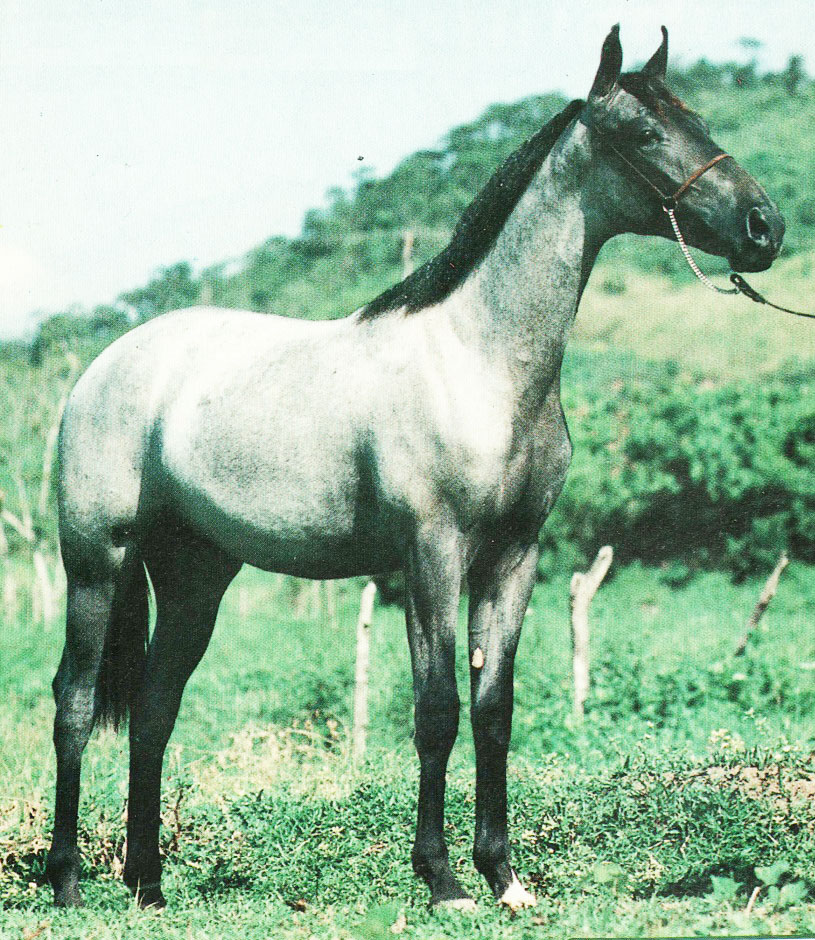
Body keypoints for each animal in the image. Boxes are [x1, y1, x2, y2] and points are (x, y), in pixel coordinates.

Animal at [46, 25, 784, 916]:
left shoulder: (512, 558)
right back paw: (66, 880)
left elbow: (494, 708)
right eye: (644, 133)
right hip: (98, 562)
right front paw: (442, 879)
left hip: (196, 576)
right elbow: (436, 710)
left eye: (697, 119)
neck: (479, 363)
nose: (764, 226)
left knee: (155, 708)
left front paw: (503, 875)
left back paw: (149, 885)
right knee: (76, 703)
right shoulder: (431, 554)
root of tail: (106, 366)